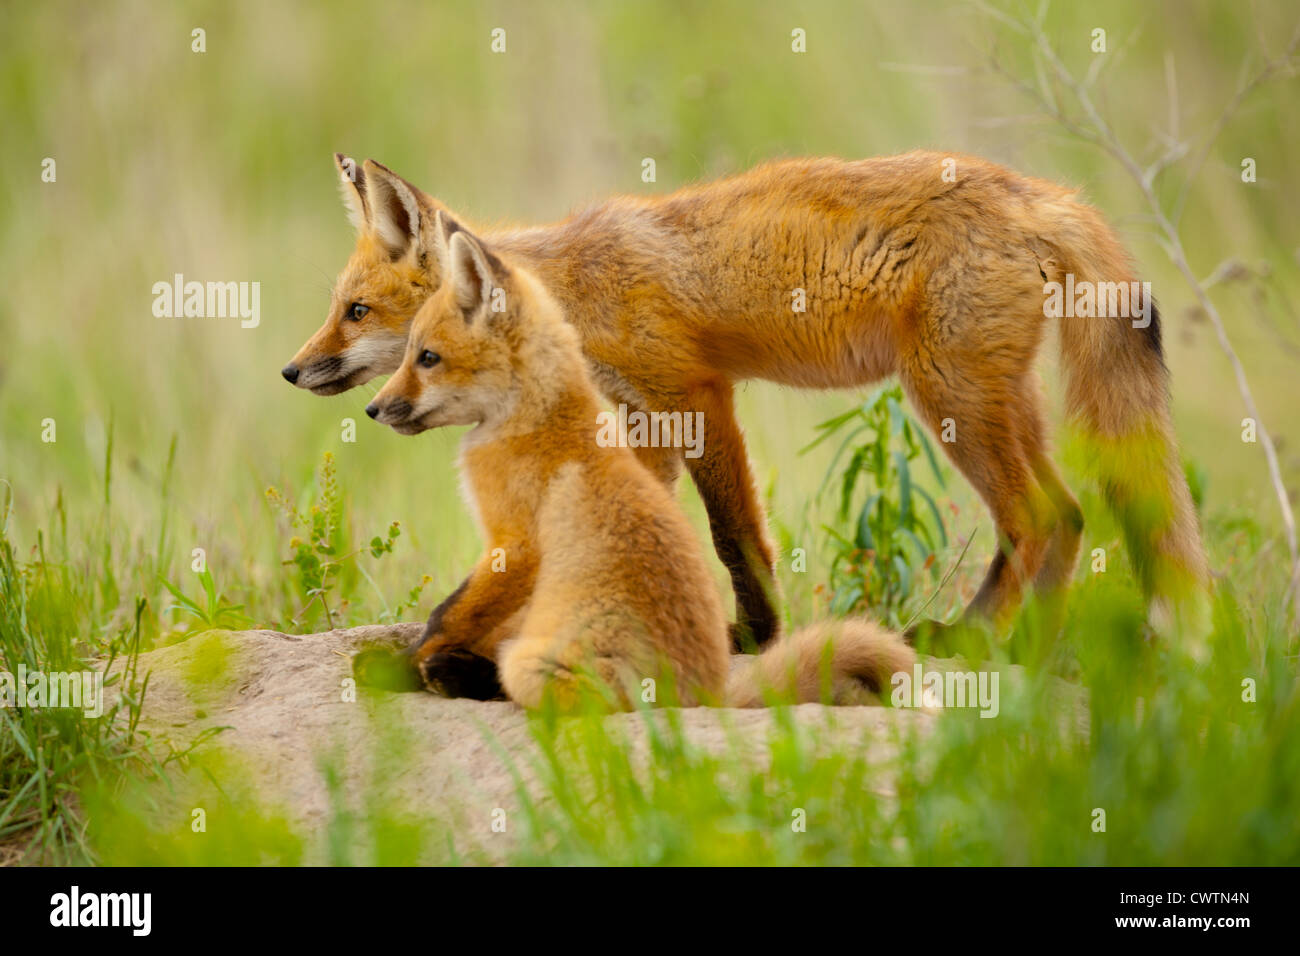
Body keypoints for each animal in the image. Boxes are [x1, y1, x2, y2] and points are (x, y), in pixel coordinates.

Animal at [286, 150, 1211, 652]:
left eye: (356, 312)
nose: (293, 372)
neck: (571, 286)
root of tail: (1032, 189)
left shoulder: (695, 395)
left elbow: (736, 541)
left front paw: (757, 637)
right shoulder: (643, 419)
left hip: (951, 400)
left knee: (1040, 517)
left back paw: (973, 636)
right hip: (998, 402)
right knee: (1071, 514)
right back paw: (1029, 647)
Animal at [356, 214, 914, 708]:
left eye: (427, 358)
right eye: (407, 354)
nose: (372, 409)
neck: (538, 415)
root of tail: (708, 694)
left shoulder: (516, 545)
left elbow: (447, 615)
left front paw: (401, 667)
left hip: (542, 660)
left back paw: (453, 673)